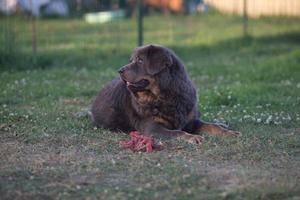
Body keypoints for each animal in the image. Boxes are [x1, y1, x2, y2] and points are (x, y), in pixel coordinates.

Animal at [90, 44, 240, 144]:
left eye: (140, 60)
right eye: (132, 60)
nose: (119, 70)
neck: (166, 95)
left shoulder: (191, 121)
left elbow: (212, 126)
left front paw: (229, 133)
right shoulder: (153, 129)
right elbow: (178, 132)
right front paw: (192, 137)